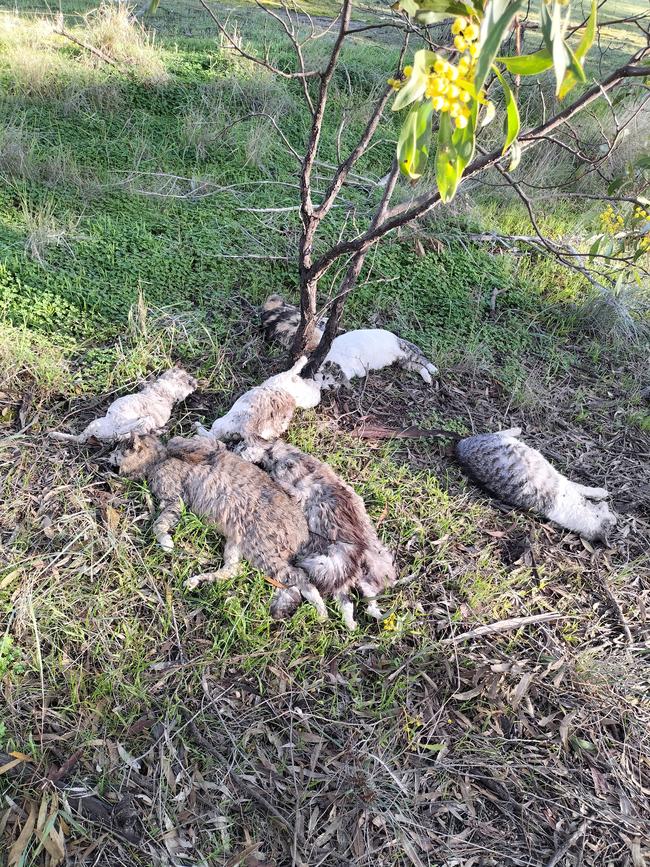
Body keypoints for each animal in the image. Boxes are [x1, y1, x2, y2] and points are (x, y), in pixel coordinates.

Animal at [454, 428, 616, 544]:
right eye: (608, 511)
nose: (616, 516)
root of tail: (460, 448)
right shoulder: (564, 483)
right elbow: (582, 487)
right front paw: (601, 492)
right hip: (498, 440)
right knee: (497, 433)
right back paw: (517, 429)